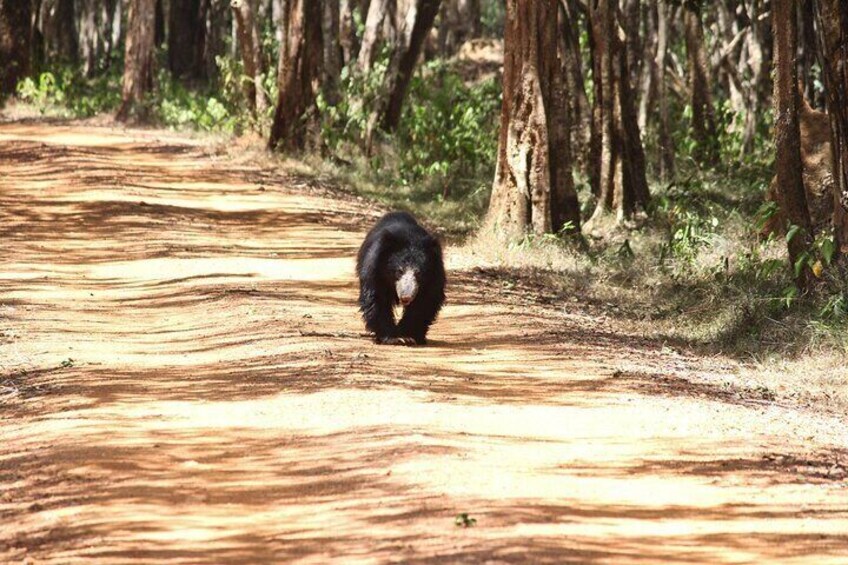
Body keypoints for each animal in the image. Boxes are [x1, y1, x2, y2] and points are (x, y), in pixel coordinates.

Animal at [356, 212, 448, 344]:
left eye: (419, 273)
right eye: (399, 271)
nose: (406, 297)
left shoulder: (434, 276)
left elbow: (425, 301)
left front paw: (408, 335)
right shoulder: (375, 271)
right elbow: (376, 298)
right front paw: (392, 337)